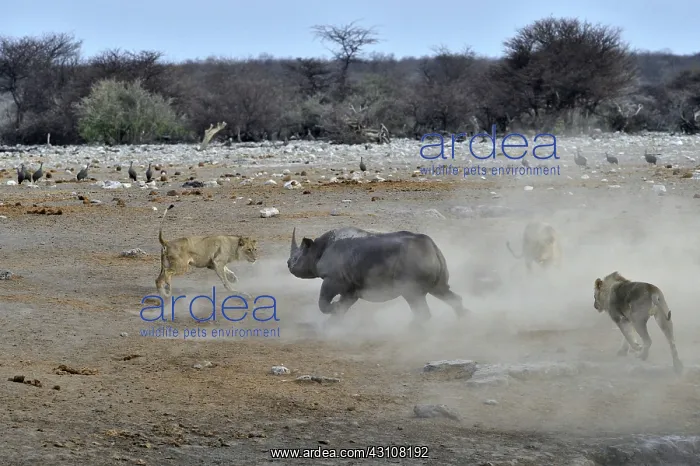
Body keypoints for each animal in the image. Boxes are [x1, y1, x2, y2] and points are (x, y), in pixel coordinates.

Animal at [286, 227, 469, 325]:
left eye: (296, 259)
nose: (288, 264)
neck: (316, 250)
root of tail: (433, 249)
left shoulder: (333, 278)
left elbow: (323, 302)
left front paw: (333, 309)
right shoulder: (352, 285)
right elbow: (345, 303)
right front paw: (332, 323)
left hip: (411, 268)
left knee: (413, 296)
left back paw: (410, 330)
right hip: (431, 262)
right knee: (441, 290)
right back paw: (463, 323)